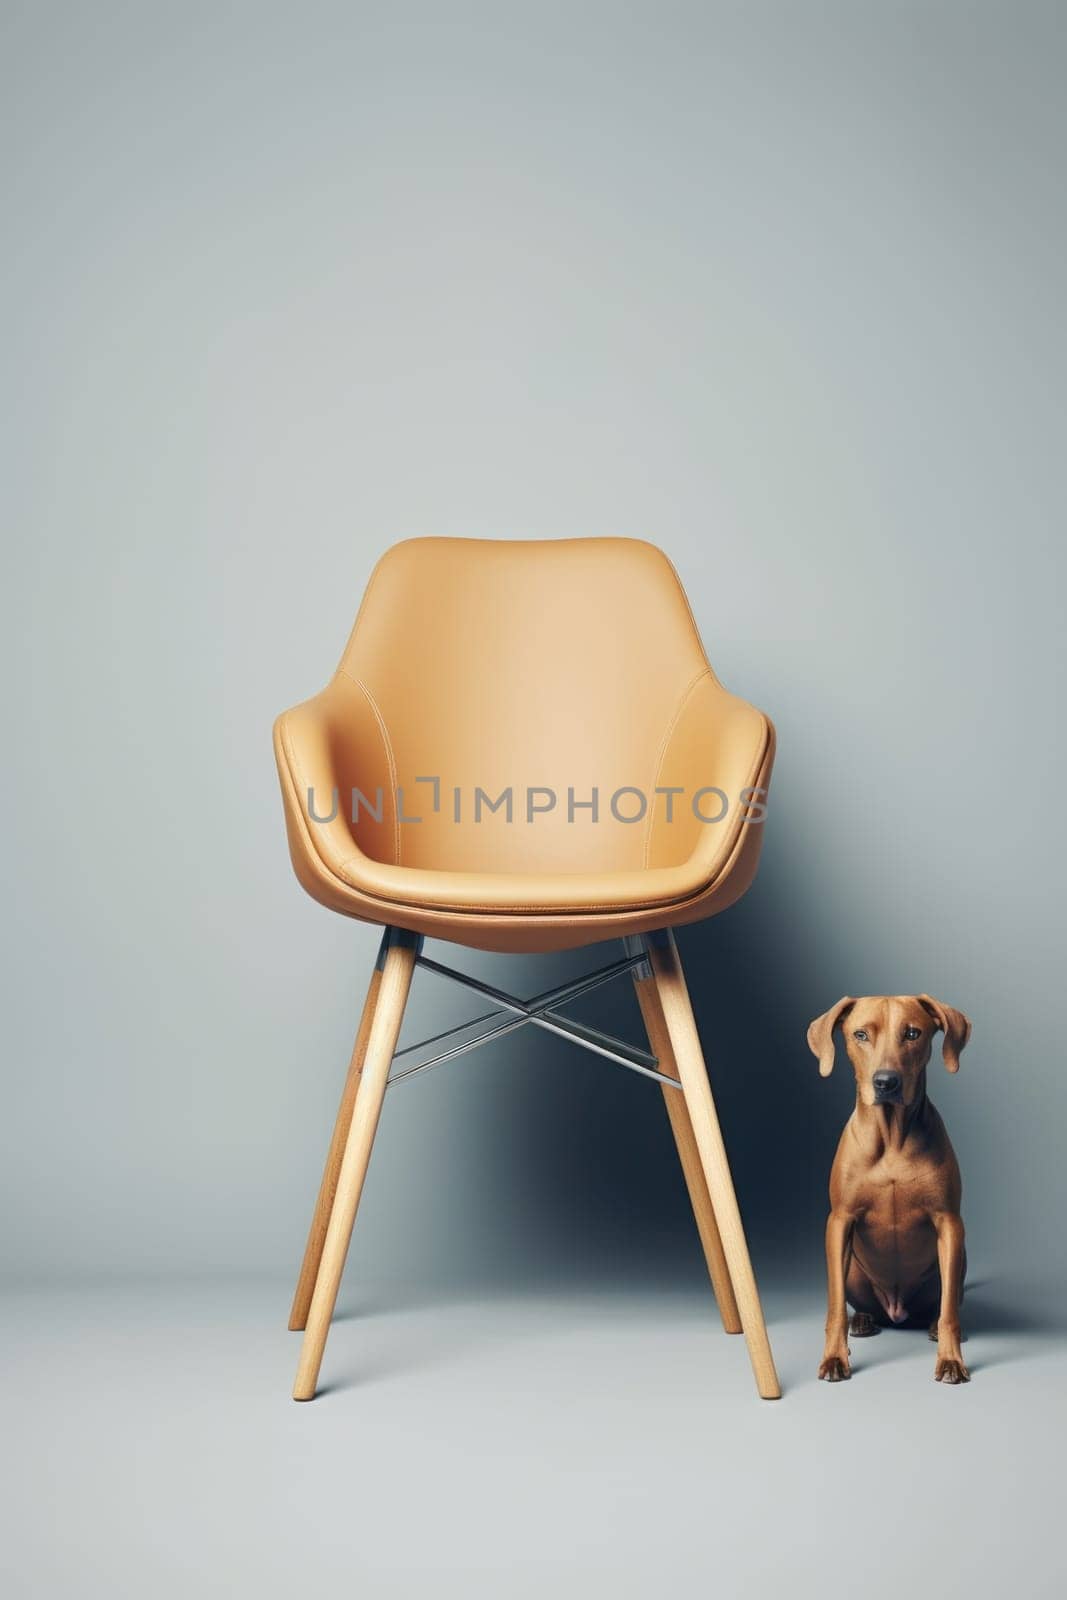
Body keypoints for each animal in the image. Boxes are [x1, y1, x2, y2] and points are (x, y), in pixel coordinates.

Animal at [809, 992, 979, 1382]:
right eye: (860, 1035)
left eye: (913, 1033)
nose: (886, 1082)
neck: (891, 1138)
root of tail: (896, 1310)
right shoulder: (839, 1222)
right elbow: (834, 1307)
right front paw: (835, 1357)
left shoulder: (949, 1223)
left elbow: (949, 1311)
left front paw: (951, 1359)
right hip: (855, 1271)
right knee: (857, 1303)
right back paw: (862, 1319)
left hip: (957, 1261)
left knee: (946, 1303)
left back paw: (934, 1326)